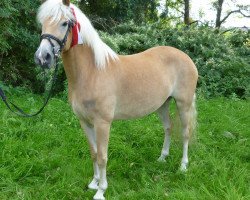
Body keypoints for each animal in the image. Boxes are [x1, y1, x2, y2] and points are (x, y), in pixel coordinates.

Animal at [35, 0, 198, 199]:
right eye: (42, 23)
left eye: (65, 23)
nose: (42, 57)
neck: (92, 72)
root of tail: (185, 57)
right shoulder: (85, 122)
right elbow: (94, 152)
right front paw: (94, 183)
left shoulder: (102, 123)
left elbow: (102, 156)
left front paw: (101, 190)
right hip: (163, 104)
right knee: (168, 127)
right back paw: (162, 158)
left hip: (184, 104)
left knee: (185, 133)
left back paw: (183, 166)